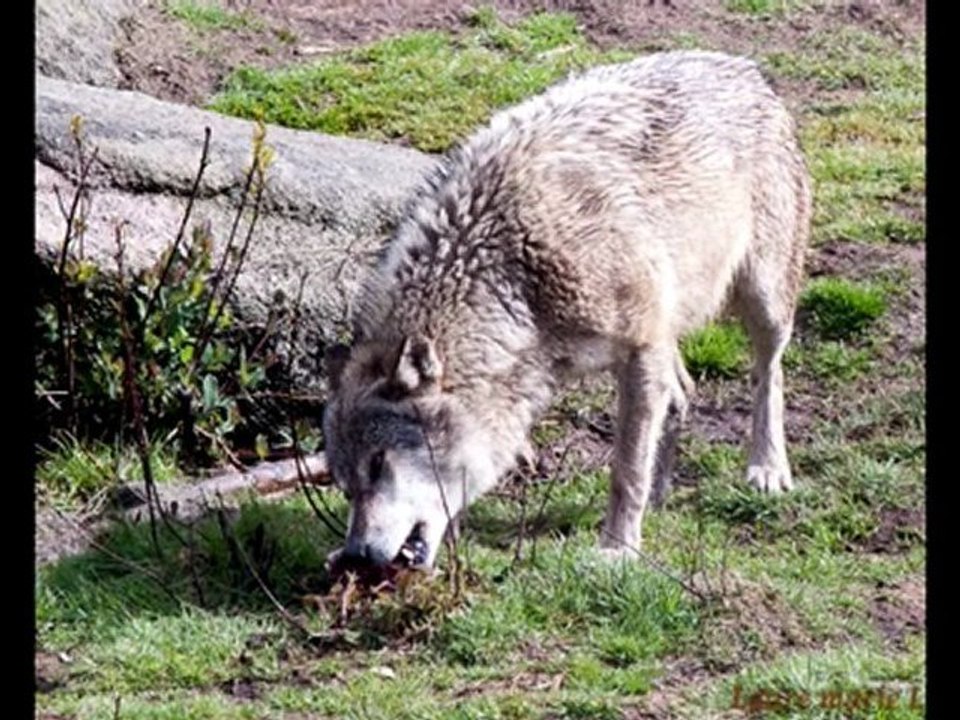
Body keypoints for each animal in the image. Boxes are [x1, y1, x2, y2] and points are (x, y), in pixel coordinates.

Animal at [322, 51, 812, 570]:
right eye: (346, 486)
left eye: (379, 464)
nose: (357, 554)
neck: (513, 278)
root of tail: (746, 69)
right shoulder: (646, 344)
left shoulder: (641, 350)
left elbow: (625, 471)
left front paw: (618, 549)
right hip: (673, 319)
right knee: (683, 391)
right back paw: (662, 494)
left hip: (762, 300)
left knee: (768, 373)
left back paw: (767, 468)